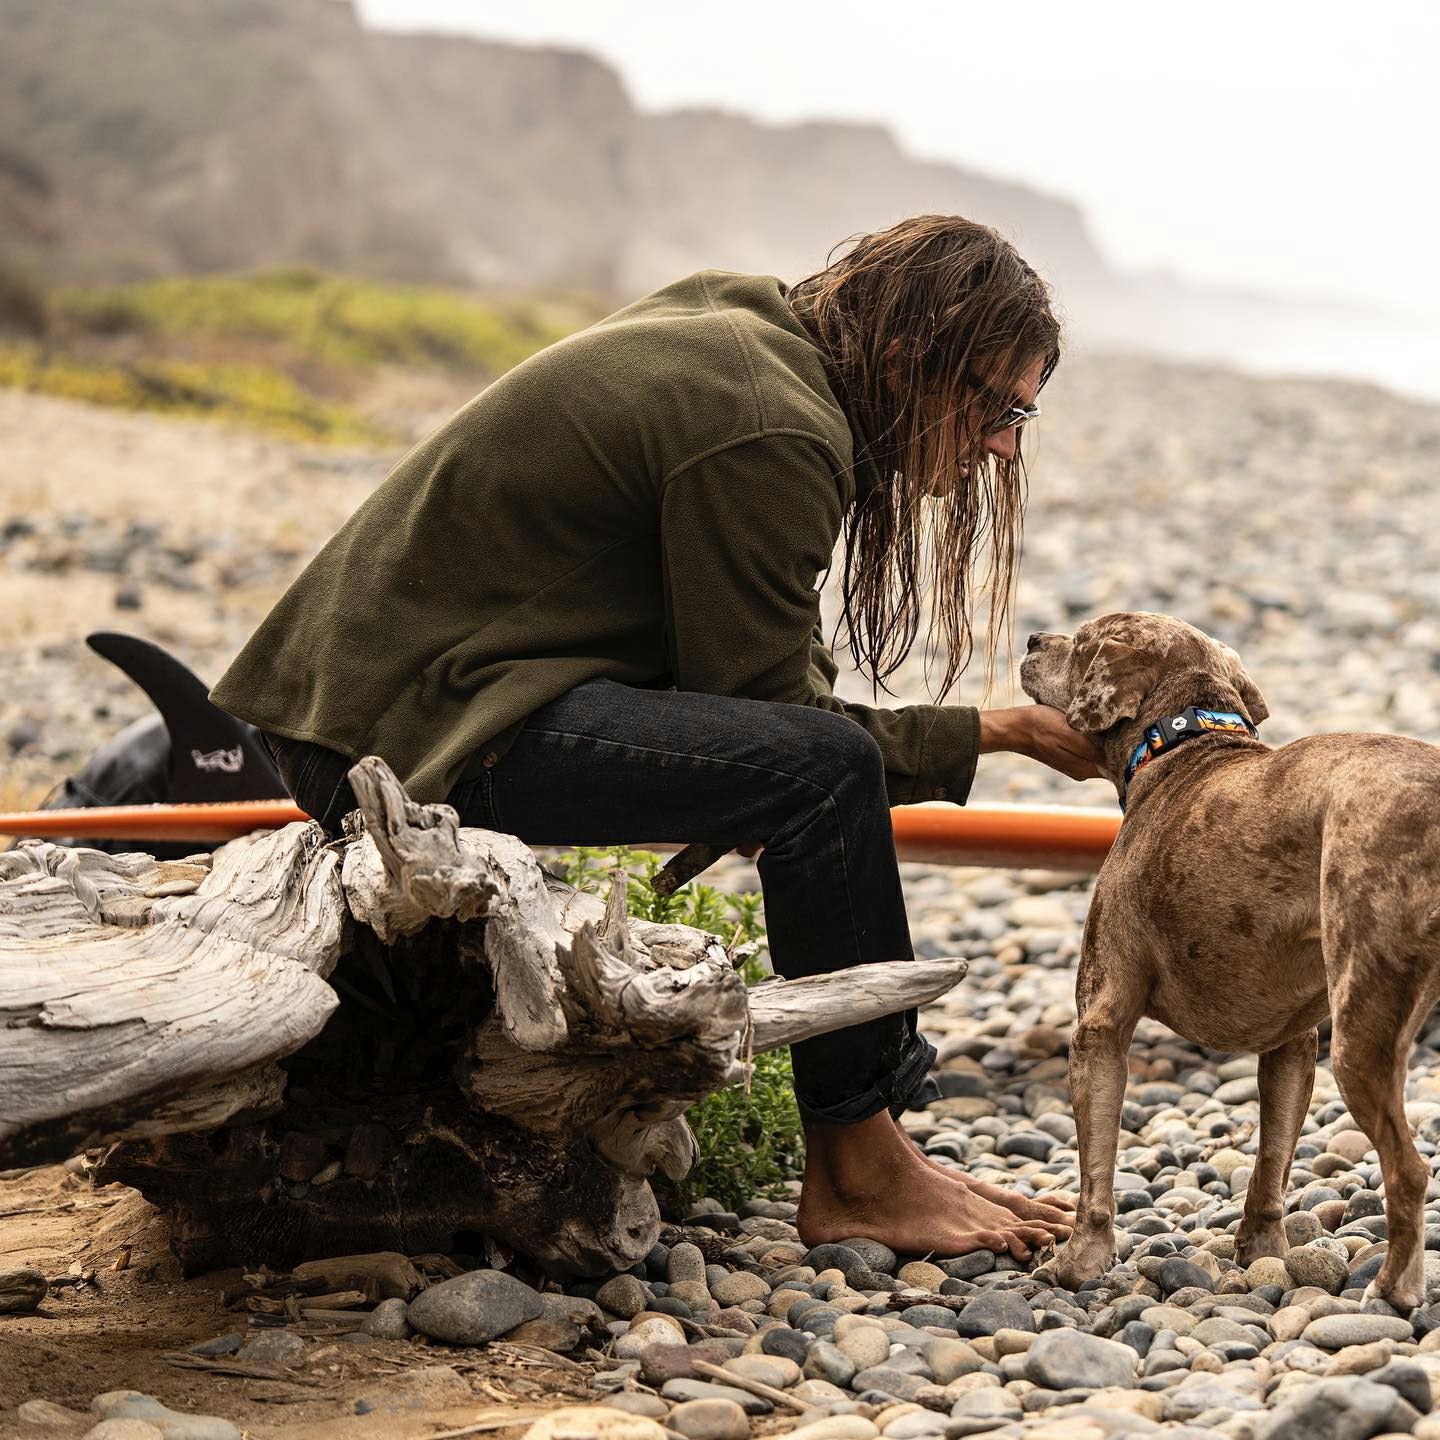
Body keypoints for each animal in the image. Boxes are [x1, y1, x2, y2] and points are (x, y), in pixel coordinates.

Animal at [1020, 610, 1440, 1311]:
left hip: (1362, 1031)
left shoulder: (1099, 1023)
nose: (1030, 639)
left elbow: (1095, 1172)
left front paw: (1079, 1263)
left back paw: (1392, 1289)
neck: (1181, 744)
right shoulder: (1293, 1044)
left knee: (1409, 1169)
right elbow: (1273, 1159)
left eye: (1080, 643)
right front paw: (1262, 1252)